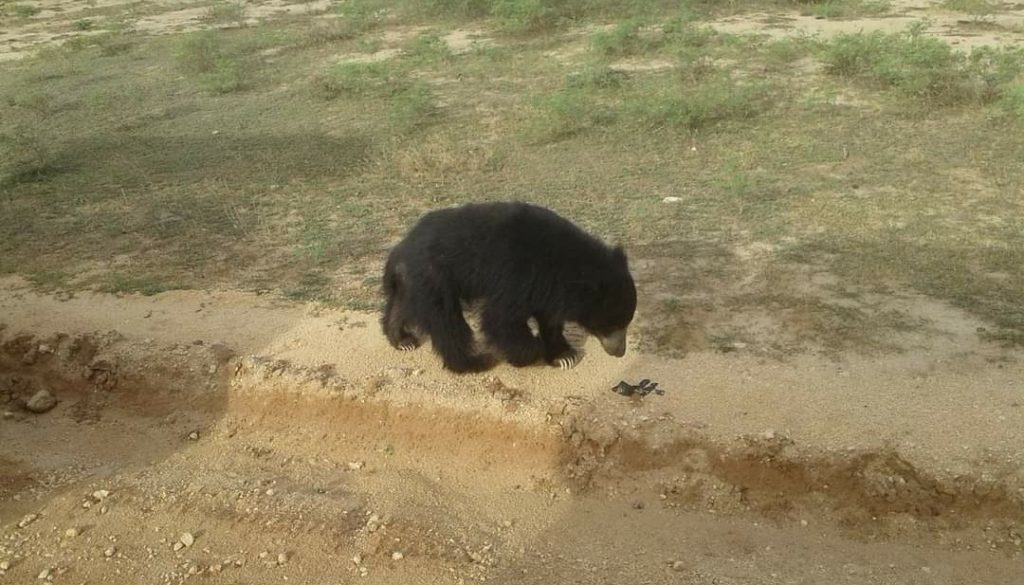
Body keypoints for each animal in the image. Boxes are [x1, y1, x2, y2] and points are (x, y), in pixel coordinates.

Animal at [380, 202, 634, 374]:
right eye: (611, 325)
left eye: (626, 323)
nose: (620, 351)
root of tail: (400, 248)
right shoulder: (515, 274)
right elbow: (500, 319)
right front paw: (530, 352)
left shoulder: (546, 288)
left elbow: (549, 320)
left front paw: (565, 356)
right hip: (435, 275)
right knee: (446, 322)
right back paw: (474, 362)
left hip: (415, 280)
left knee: (402, 305)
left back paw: (402, 340)